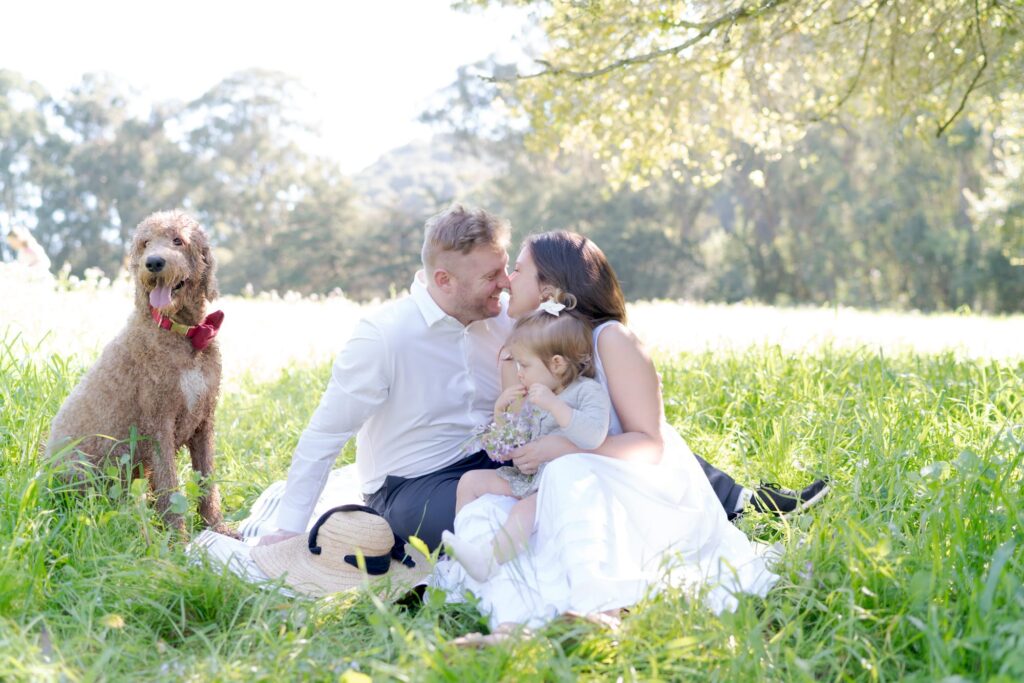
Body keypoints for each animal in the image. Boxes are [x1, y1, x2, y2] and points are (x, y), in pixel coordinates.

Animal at [47, 210, 230, 536]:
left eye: (178, 240)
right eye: (145, 244)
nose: (154, 262)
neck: (183, 335)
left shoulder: (204, 420)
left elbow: (207, 480)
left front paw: (217, 527)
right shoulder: (159, 424)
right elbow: (170, 486)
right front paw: (178, 540)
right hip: (83, 470)